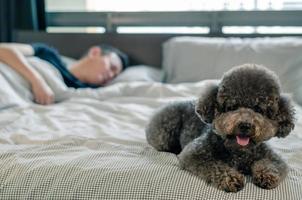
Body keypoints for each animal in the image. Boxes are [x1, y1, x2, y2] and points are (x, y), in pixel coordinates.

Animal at [146, 63, 294, 192]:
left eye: (258, 109)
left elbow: (272, 164)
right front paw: (231, 178)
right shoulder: (195, 153)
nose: (245, 125)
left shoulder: (272, 157)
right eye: (232, 107)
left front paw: (267, 176)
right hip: (164, 133)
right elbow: (215, 166)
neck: (238, 151)